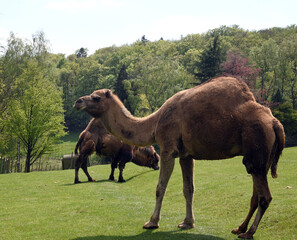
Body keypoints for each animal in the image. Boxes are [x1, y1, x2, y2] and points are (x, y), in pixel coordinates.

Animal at [73, 76, 284, 238]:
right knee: (256, 194)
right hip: (261, 157)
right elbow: (188, 189)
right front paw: (187, 223)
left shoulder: (168, 150)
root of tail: (275, 122)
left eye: (96, 97)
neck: (154, 123)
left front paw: (151, 222)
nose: (78, 101)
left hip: (257, 148)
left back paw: (249, 233)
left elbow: (160, 188)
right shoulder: (186, 155)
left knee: (265, 196)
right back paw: (239, 228)